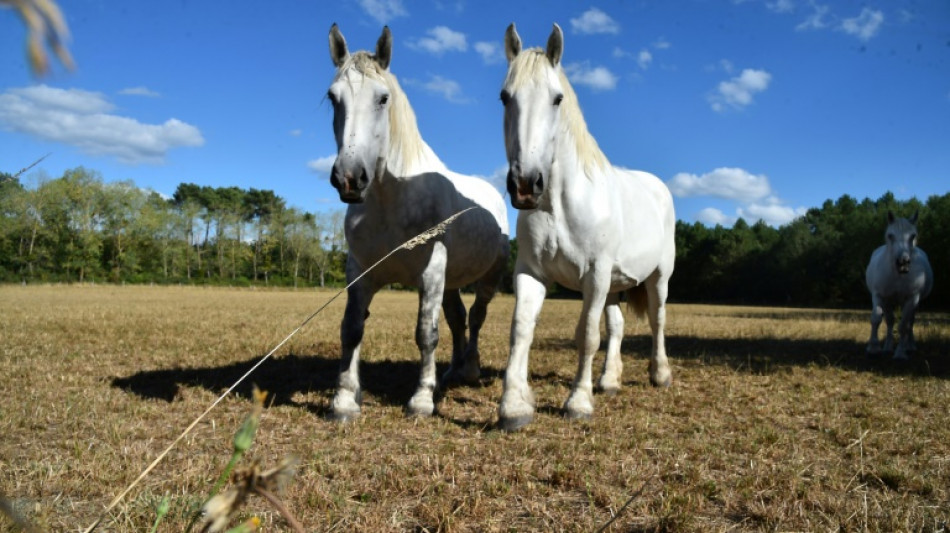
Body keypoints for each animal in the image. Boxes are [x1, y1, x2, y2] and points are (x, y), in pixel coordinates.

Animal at [326, 23, 510, 420]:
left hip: (488, 277)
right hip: (451, 281)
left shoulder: (431, 271)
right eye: (333, 98)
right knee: (457, 318)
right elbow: (351, 329)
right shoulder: (360, 270)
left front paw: (422, 400)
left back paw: (469, 370)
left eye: (383, 98)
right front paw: (345, 399)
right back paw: (453, 369)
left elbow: (427, 333)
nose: (349, 178)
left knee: (476, 316)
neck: (391, 198)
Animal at [498, 26, 676, 432]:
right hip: (615, 284)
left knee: (657, 319)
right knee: (618, 326)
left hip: (657, 277)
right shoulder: (531, 273)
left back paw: (660, 374)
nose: (525, 185)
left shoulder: (594, 275)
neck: (560, 206)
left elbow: (588, 335)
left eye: (557, 98)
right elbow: (520, 329)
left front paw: (578, 402)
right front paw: (514, 406)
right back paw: (609, 381)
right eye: (504, 97)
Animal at [868, 210, 932, 360]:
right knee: (890, 321)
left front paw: (900, 353)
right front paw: (873, 348)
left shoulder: (912, 298)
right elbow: (876, 318)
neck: (897, 275)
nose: (903, 262)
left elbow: (903, 325)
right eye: (890, 235)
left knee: (910, 323)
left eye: (913, 236)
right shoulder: (879, 295)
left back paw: (910, 346)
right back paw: (887, 347)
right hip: (889, 301)